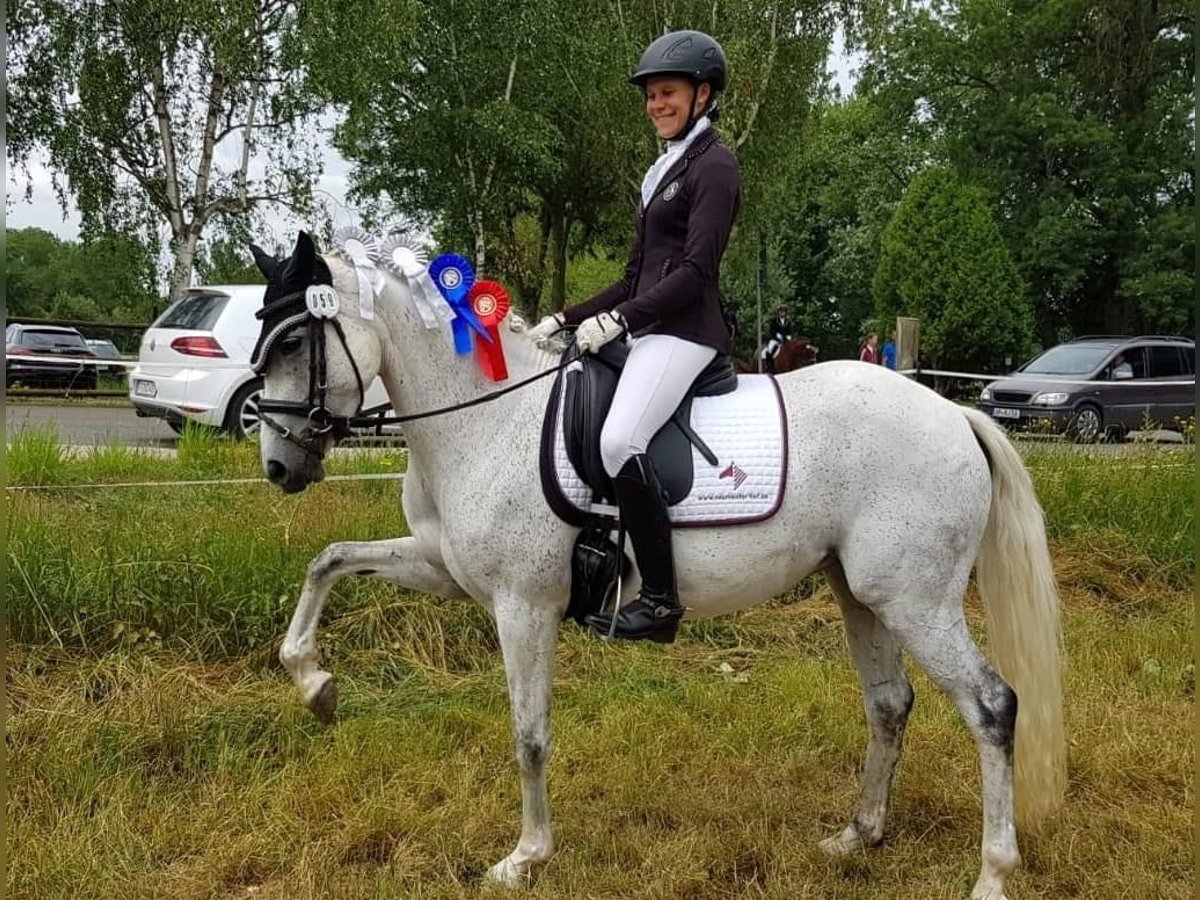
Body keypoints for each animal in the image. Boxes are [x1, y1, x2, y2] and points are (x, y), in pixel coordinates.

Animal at [250, 236, 1060, 897]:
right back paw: (857, 835)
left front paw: (525, 858)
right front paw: (316, 686)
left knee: (992, 707)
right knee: (890, 704)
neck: (484, 417)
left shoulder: (523, 604)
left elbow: (529, 734)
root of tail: (953, 414)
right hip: (864, 593)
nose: (279, 467)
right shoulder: (444, 568)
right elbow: (329, 563)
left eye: (292, 340)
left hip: (917, 602)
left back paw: (992, 875)